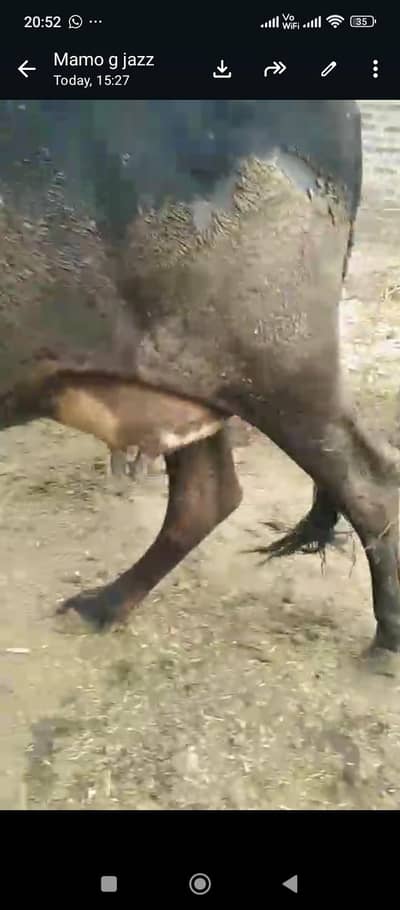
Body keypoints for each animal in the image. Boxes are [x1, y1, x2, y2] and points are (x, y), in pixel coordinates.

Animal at [0, 100, 399, 654]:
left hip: (281, 366)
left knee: (372, 483)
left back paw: (387, 640)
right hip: (187, 378)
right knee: (208, 496)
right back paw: (101, 606)